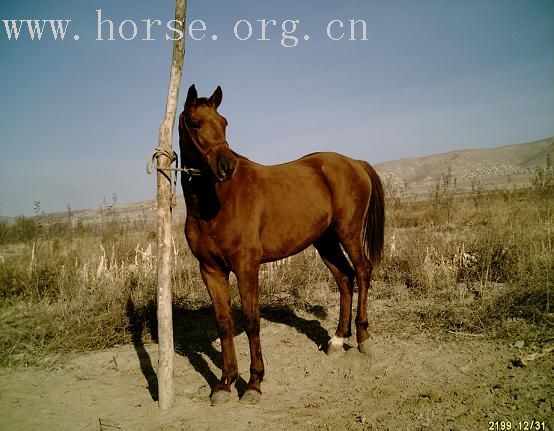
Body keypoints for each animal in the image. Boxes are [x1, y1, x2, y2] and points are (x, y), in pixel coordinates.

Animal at [178, 85, 384, 404]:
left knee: (362, 271)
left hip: (348, 233)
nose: (227, 167)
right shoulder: (210, 270)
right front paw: (225, 384)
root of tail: (354, 163)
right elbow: (223, 323)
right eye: (195, 123)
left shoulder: (246, 266)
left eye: (224, 122)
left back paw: (363, 340)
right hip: (325, 241)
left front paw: (253, 384)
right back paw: (338, 340)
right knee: (345, 278)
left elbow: (251, 321)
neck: (215, 203)